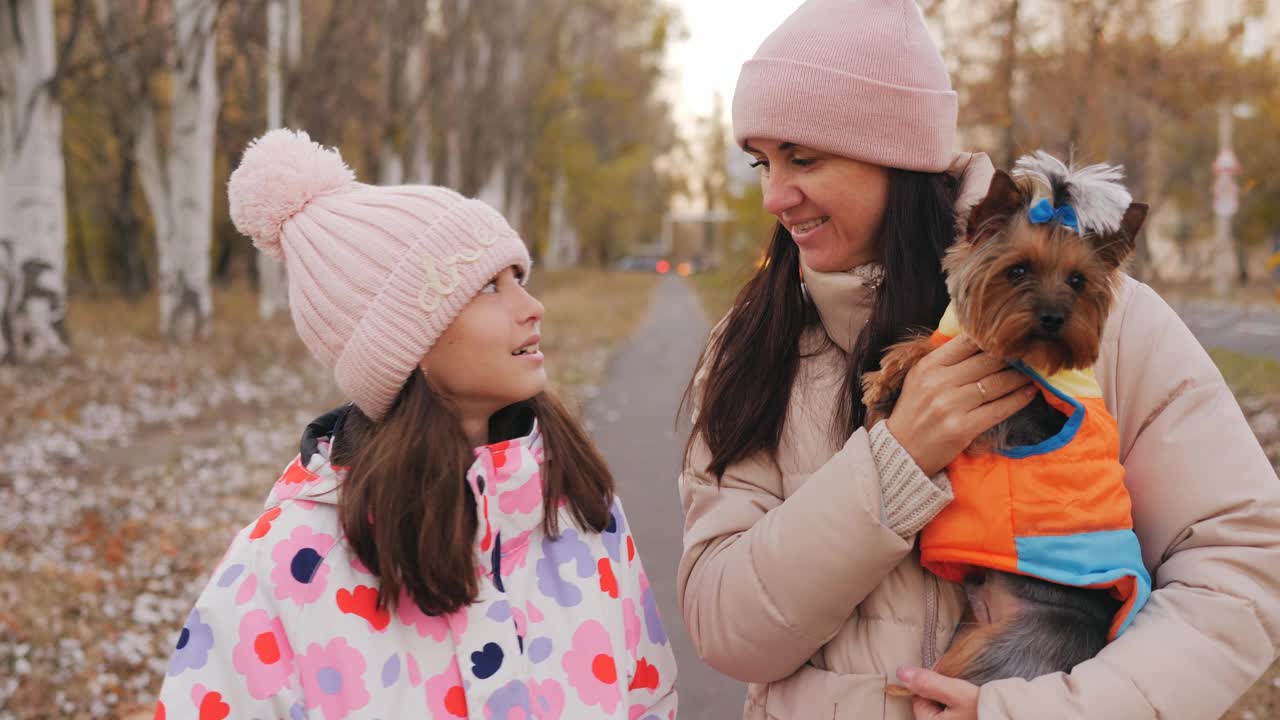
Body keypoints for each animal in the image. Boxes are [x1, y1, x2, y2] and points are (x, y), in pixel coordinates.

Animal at [870, 152, 1152, 691]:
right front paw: (892, 370)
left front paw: (892, 374)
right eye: (1017, 270)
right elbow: (937, 344)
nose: (1053, 317)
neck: (1025, 357)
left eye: (1077, 281)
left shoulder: (994, 424)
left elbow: (943, 354)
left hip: (999, 650)